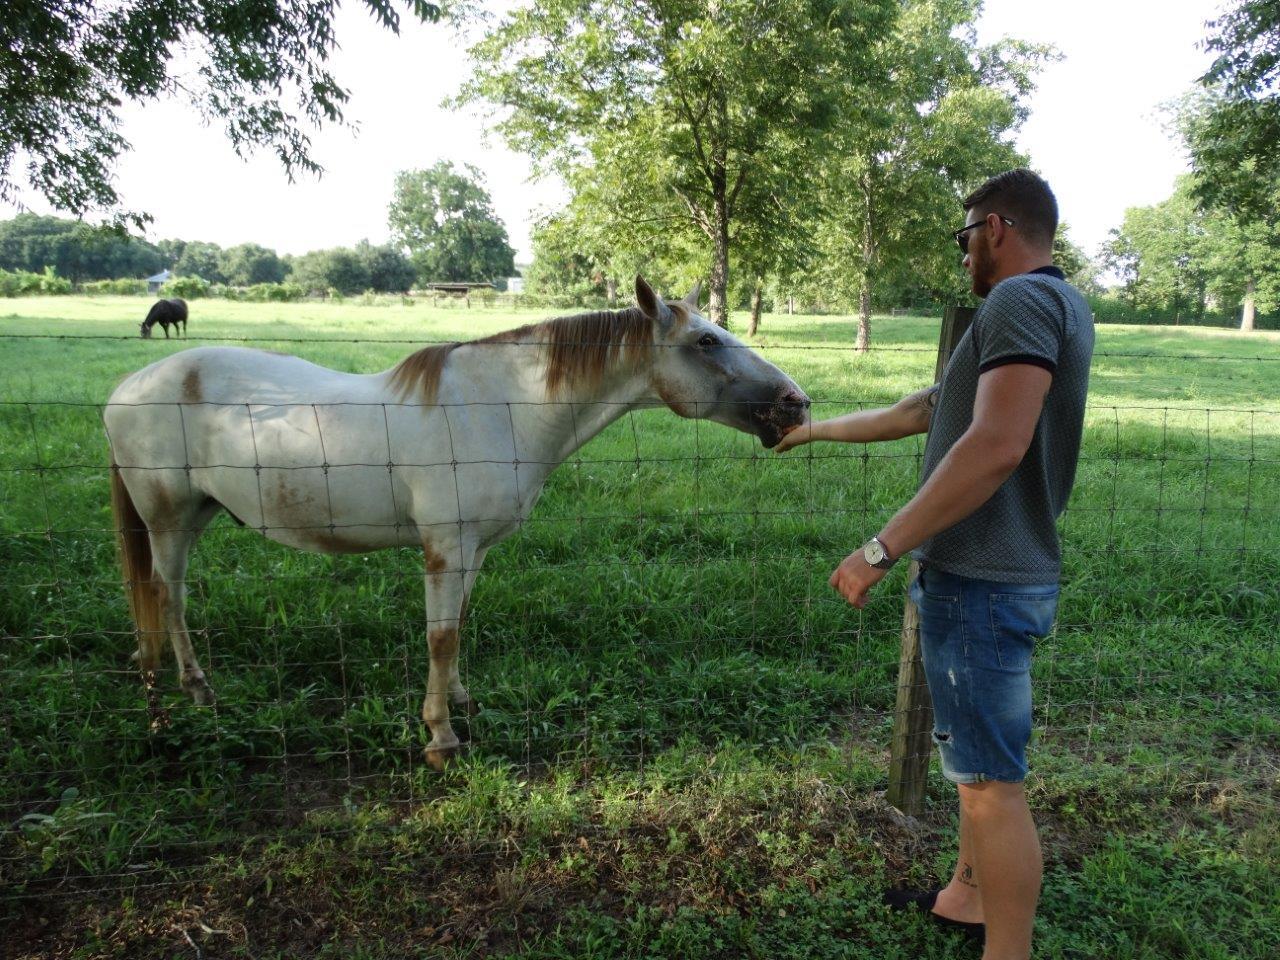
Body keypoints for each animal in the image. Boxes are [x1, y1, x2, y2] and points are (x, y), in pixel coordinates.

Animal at [107, 276, 808, 768]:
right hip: (169, 521)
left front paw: (462, 702)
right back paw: (195, 692)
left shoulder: (476, 549)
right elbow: (440, 636)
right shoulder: (445, 545)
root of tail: (128, 389)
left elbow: (460, 625)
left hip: (196, 515)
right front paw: (441, 737)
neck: (500, 408)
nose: (796, 403)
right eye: (706, 341)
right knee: (168, 595)